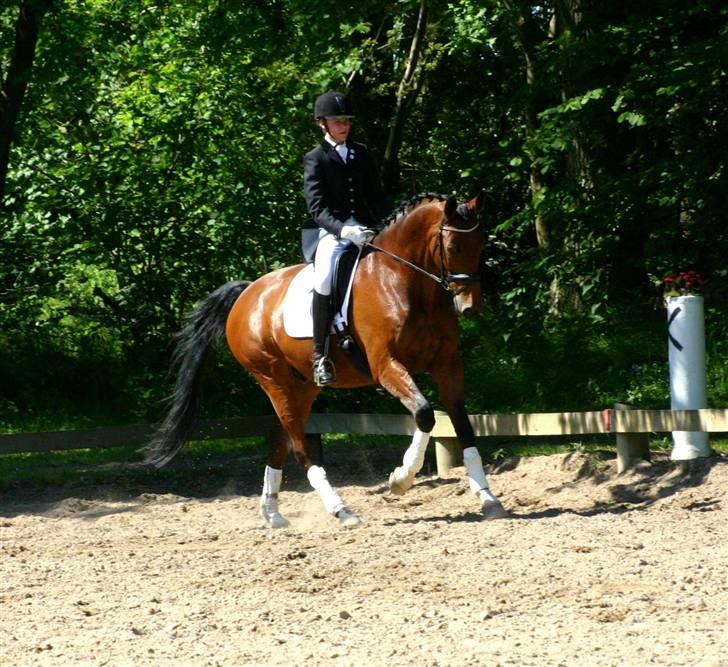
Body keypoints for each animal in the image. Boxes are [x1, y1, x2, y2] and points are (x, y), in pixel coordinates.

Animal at [146, 192, 510, 528]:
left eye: (479, 244)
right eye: (452, 246)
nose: (469, 306)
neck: (406, 283)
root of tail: (247, 293)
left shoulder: (447, 366)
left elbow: (456, 422)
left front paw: (488, 498)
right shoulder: (385, 366)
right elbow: (424, 413)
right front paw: (400, 479)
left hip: (302, 386)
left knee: (279, 439)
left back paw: (273, 514)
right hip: (272, 378)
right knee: (300, 448)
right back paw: (341, 510)